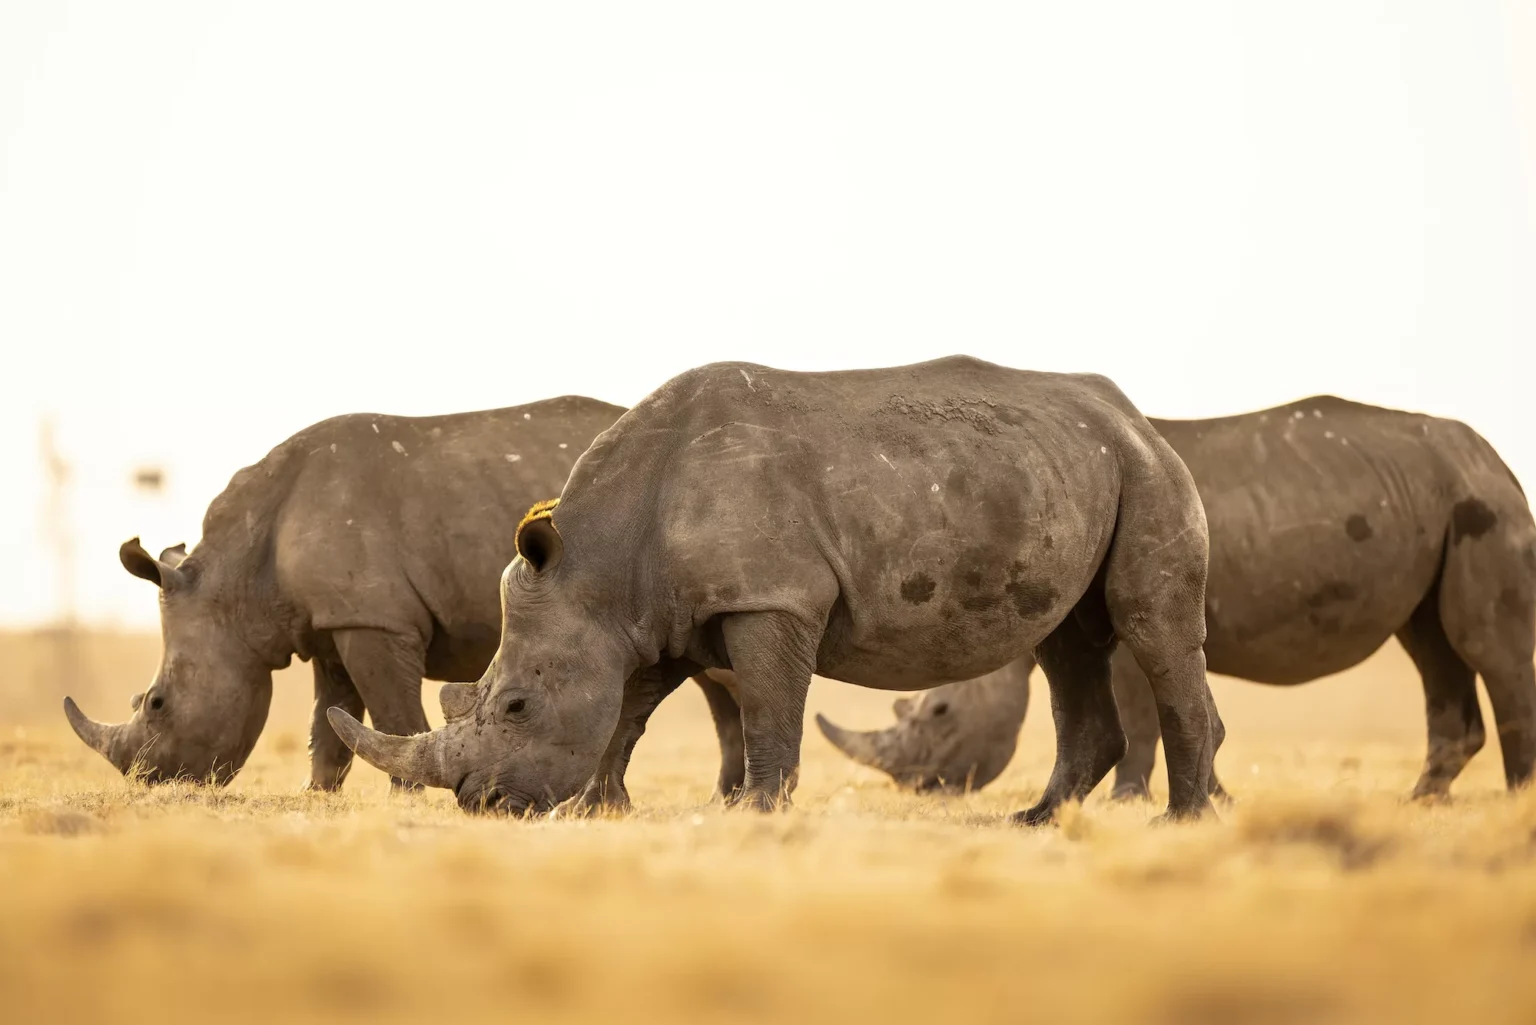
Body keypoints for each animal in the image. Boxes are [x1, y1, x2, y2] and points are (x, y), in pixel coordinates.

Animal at [63, 397, 749, 796]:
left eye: (155, 703)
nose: (148, 784)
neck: (235, 582)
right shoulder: (332, 621)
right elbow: (328, 723)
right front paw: (318, 803)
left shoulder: (375, 619)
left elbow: (391, 712)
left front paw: (409, 801)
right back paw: (724, 804)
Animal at [328, 356, 1225, 823]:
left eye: (514, 705)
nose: (480, 802)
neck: (602, 562)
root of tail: (1136, 415)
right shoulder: (649, 617)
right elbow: (628, 711)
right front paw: (599, 809)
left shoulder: (770, 597)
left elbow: (764, 703)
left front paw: (757, 810)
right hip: (1069, 469)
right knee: (1067, 643)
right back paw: (1035, 822)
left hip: (1148, 471)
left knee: (1149, 627)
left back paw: (1180, 821)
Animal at [817, 396, 1536, 801]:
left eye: (940, 712)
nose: (923, 791)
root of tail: (1495, 456)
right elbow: (1193, 711)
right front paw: (1218, 798)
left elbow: (1145, 715)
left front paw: (1130, 801)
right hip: (1446, 499)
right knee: (1432, 643)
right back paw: (1423, 801)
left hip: (1484, 499)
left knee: (1484, 644)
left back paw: (1515, 802)